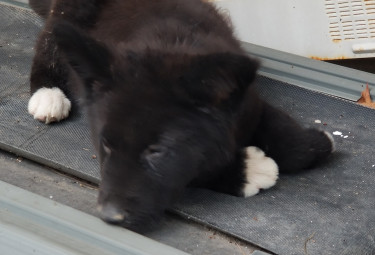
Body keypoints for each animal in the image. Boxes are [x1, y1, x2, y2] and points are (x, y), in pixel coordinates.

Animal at [29, 0, 334, 231]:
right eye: (105, 144)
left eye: (157, 151)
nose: (109, 216)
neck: (172, 45)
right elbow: (198, 170)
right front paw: (250, 170)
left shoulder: (247, 103)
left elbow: (285, 137)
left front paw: (318, 142)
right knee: (47, 44)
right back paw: (47, 94)